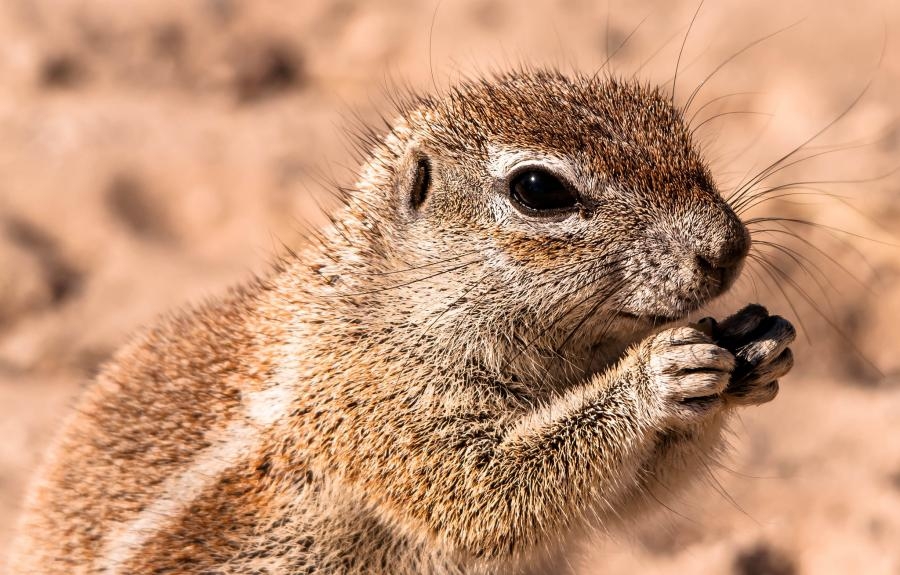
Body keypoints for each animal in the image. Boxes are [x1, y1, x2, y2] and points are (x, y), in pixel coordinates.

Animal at [8, 72, 796, 575]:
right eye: (538, 189)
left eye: (672, 123)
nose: (729, 246)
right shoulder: (370, 399)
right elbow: (485, 493)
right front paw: (657, 375)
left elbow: (626, 499)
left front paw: (755, 349)